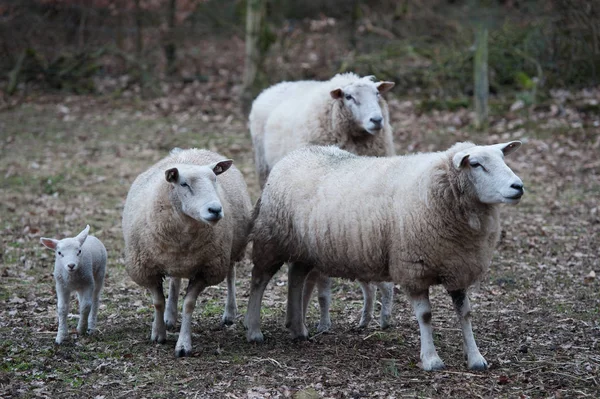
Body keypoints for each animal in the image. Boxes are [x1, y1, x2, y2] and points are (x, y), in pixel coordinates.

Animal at [122, 148, 253, 358]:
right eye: (183, 184)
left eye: (214, 180)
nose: (215, 210)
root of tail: (193, 150)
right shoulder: (146, 269)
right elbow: (158, 301)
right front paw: (158, 332)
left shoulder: (206, 270)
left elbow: (189, 304)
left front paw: (183, 344)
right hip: (175, 260)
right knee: (175, 280)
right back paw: (169, 316)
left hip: (232, 249)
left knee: (231, 274)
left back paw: (230, 312)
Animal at [244, 141, 524, 372]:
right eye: (475, 164)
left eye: (503, 158)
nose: (518, 187)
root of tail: (292, 156)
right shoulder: (413, 268)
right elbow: (425, 316)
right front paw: (431, 359)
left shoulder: (456, 267)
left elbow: (465, 313)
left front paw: (476, 358)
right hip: (272, 239)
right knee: (259, 280)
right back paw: (254, 330)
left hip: (304, 248)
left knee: (296, 277)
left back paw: (297, 328)